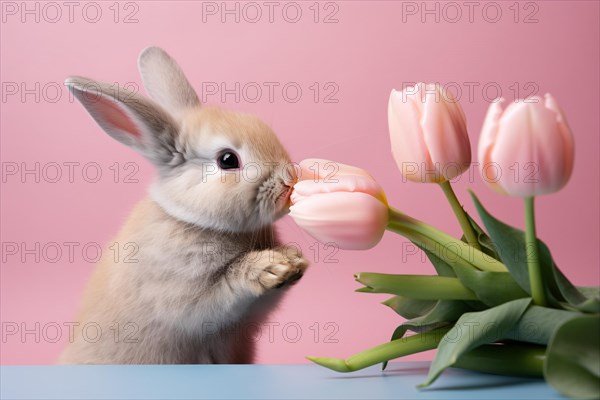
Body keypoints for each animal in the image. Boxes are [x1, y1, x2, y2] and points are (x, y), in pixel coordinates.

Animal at [60, 47, 310, 366]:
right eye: (227, 160)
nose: (289, 180)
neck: (193, 219)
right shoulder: (185, 298)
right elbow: (224, 288)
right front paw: (268, 267)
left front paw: (293, 260)